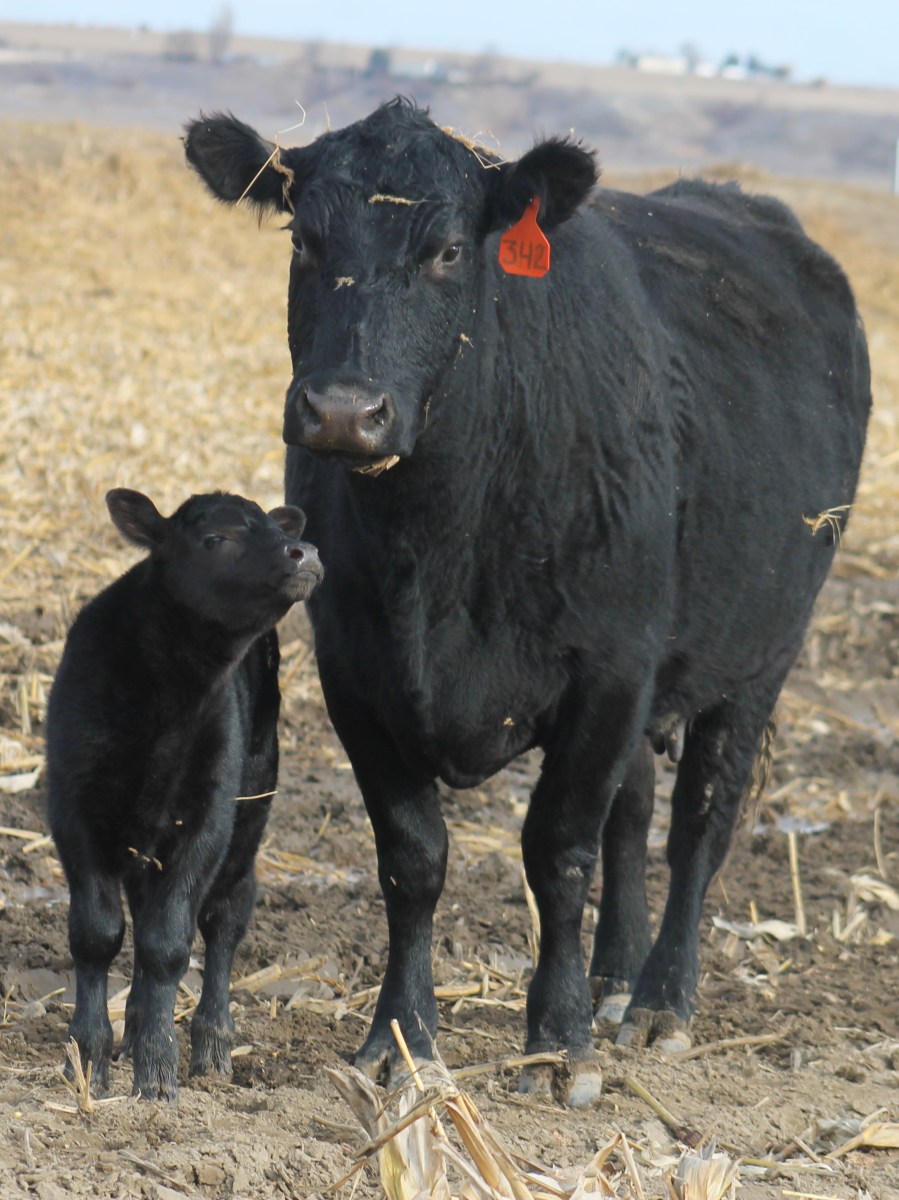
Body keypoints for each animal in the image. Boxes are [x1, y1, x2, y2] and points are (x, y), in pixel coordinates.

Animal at [46, 490, 322, 1100]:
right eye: (216, 538)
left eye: (276, 528)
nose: (306, 551)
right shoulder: (74, 812)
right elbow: (97, 934)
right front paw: (90, 1057)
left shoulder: (208, 819)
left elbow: (168, 942)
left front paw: (156, 1069)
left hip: (250, 811)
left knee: (225, 916)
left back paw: (212, 1043)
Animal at [184, 98, 870, 1106]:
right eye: (305, 240)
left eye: (446, 251)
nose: (345, 411)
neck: (435, 540)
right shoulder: (356, 676)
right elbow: (413, 859)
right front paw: (400, 1037)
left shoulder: (609, 672)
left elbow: (557, 852)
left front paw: (557, 1043)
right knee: (634, 812)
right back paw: (616, 979)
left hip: (760, 657)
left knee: (700, 821)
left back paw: (659, 1001)